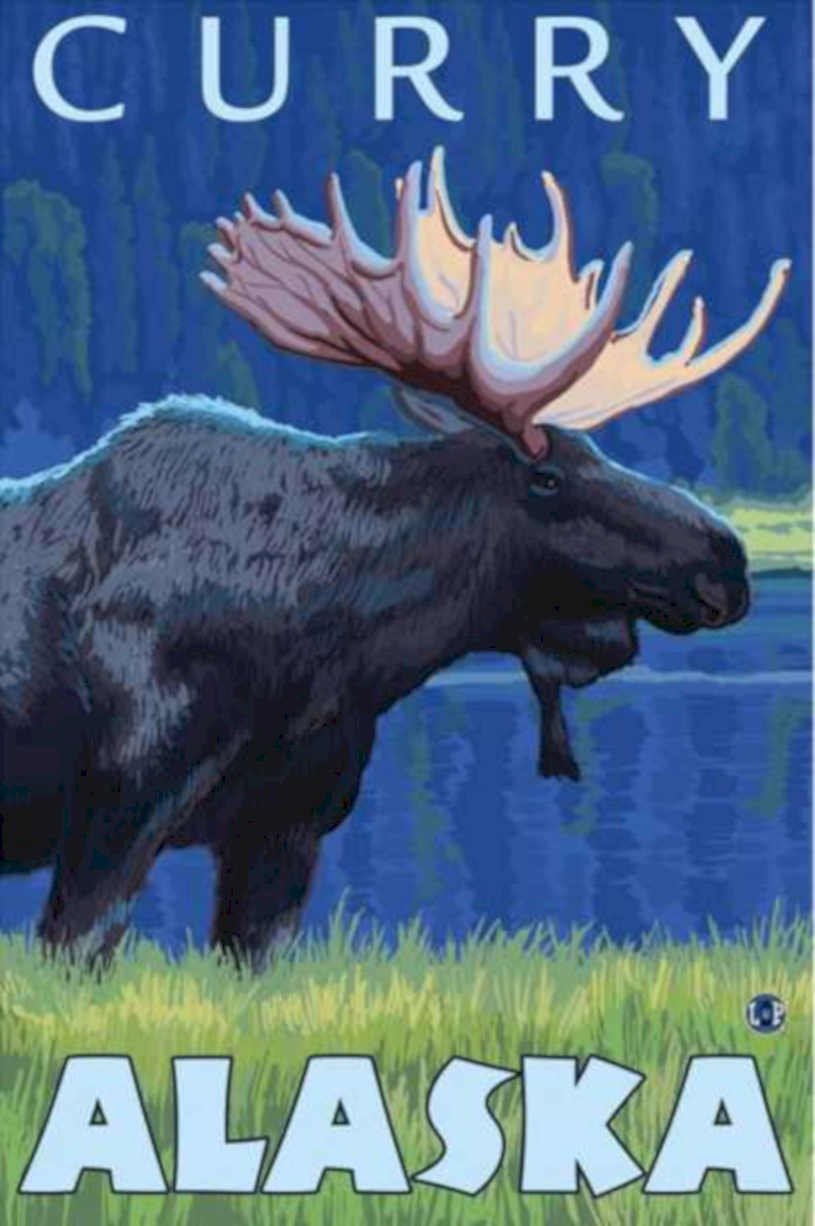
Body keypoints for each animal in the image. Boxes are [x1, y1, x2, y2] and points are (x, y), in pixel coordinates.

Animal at [0, 148, 789, 968]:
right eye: (545, 478)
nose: (725, 561)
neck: (334, 641)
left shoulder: (287, 824)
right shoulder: (119, 799)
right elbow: (77, 941)